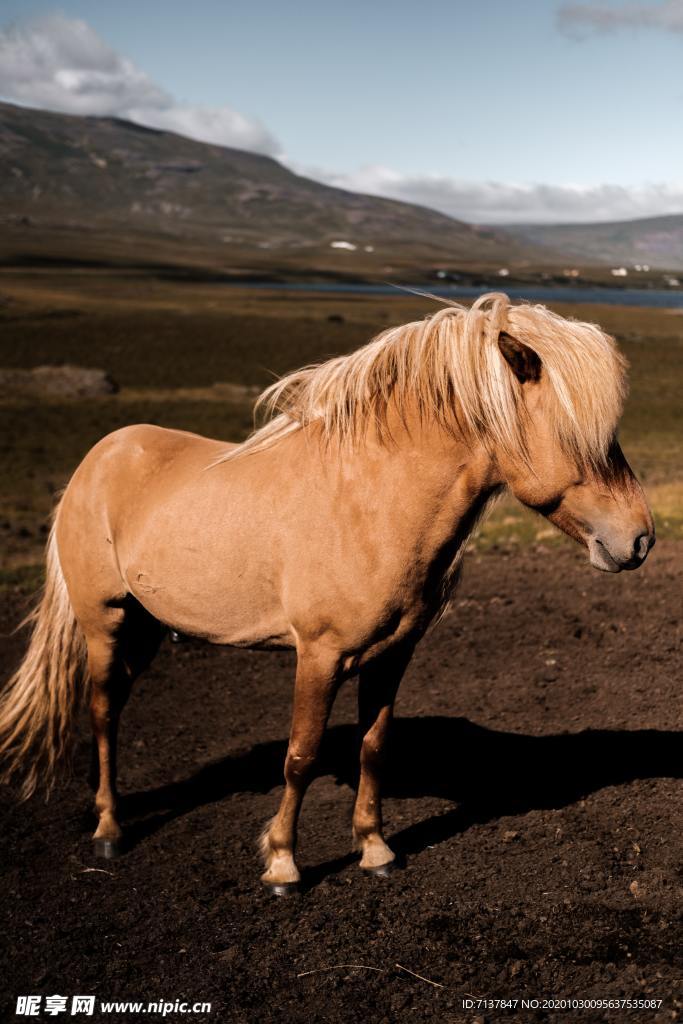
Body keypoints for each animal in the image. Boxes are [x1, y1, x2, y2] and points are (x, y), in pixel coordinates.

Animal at [0, 292, 654, 895]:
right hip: (104, 621)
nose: (640, 539)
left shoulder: (393, 654)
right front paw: (283, 865)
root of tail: (98, 457)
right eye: (575, 434)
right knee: (103, 711)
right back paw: (109, 829)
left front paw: (376, 849)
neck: (371, 502)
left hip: (147, 627)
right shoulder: (318, 656)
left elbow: (374, 747)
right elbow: (301, 756)